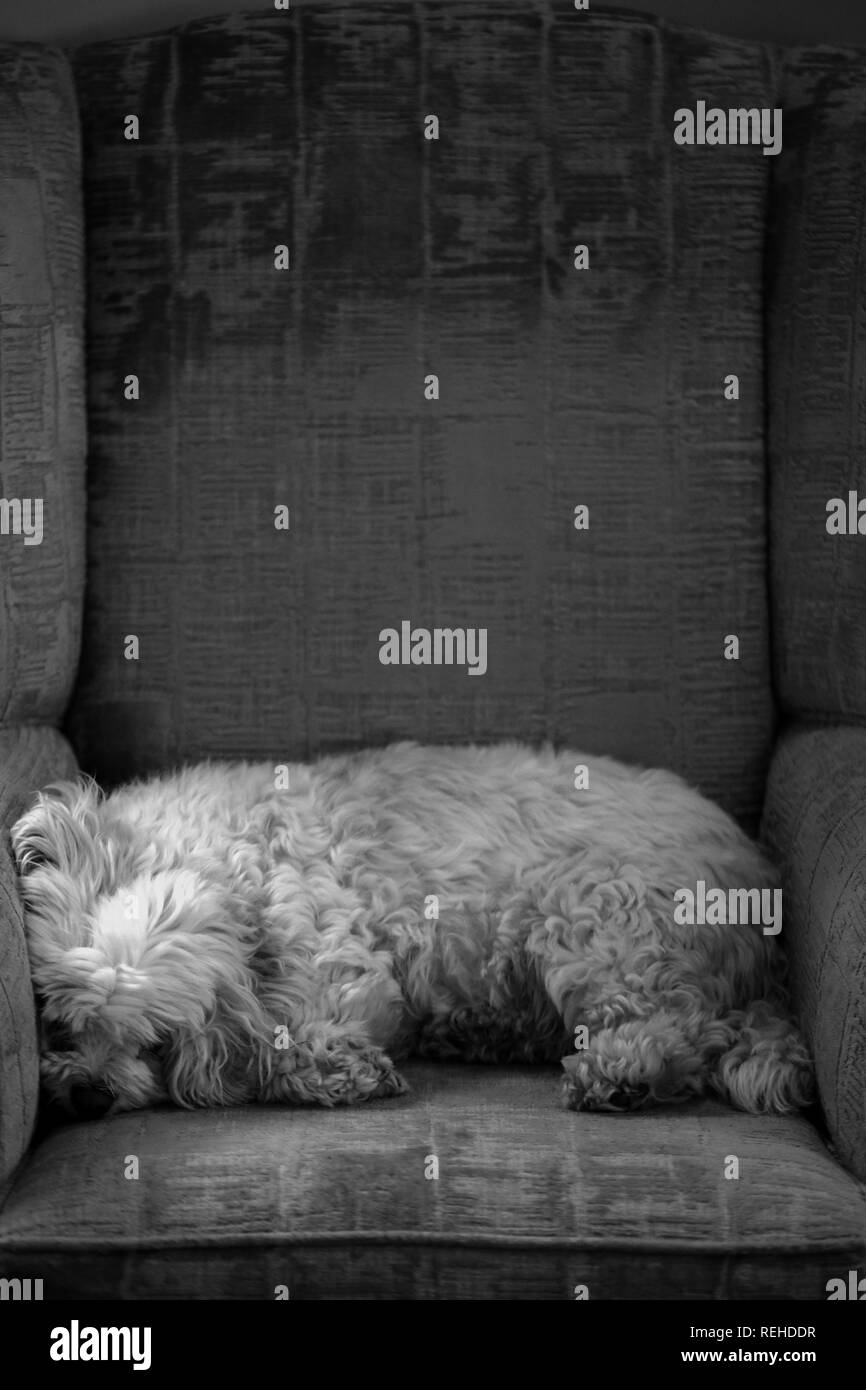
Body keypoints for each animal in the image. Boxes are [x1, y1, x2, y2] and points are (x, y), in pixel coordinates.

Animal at [10, 739, 817, 1117]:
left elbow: (276, 1051)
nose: (88, 1094)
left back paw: (622, 1076)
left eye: (154, 1042)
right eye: (59, 1024)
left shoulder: (347, 976)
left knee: (687, 1029)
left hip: (593, 916)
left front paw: (337, 1071)